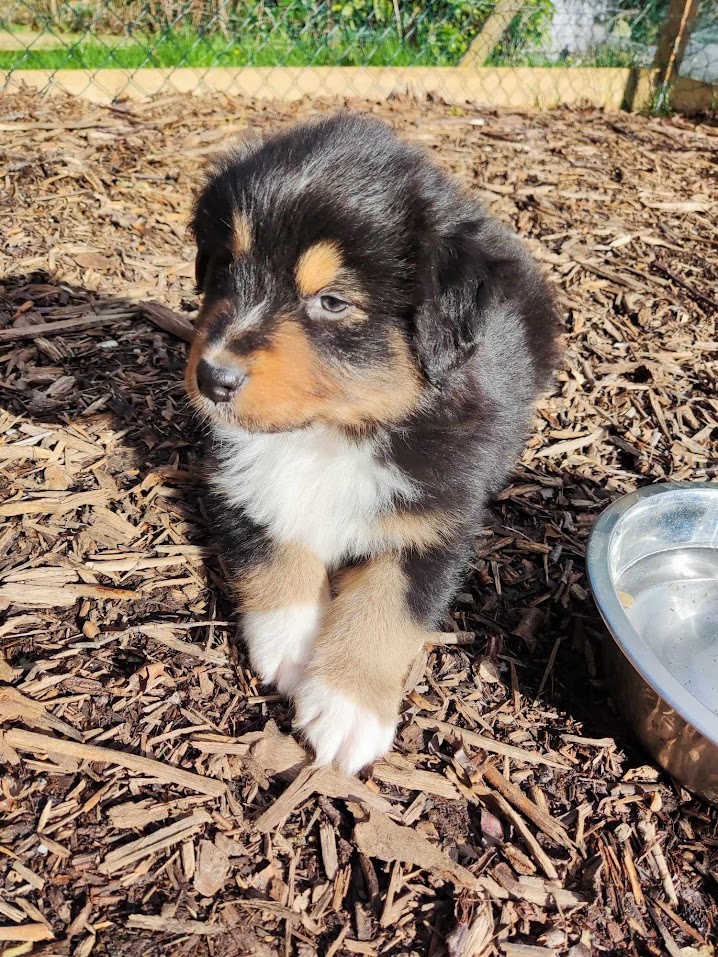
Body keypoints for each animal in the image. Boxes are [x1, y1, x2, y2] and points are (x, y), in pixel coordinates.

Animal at [186, 112, 564, 772]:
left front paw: (347, 707)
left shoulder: (434, 517)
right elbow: (272, 544)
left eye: (332, 301)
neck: (334, 434)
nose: (213, 378)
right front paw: (292, 645)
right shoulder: (237, 478)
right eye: (227, 266)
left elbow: (388, 604)